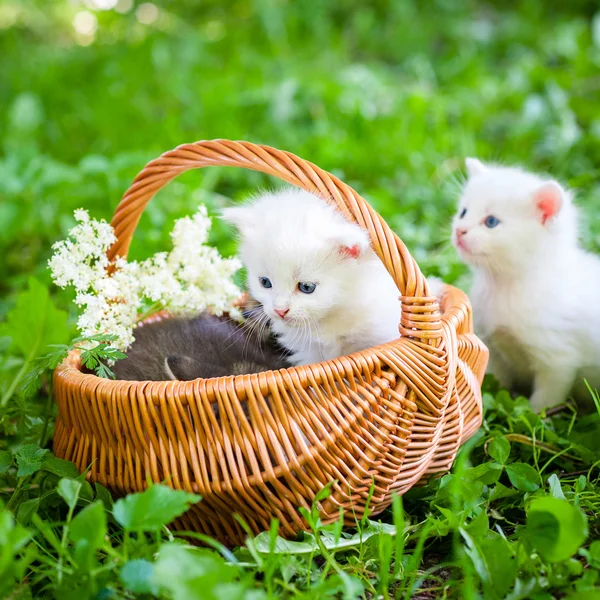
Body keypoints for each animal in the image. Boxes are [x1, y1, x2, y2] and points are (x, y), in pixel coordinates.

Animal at [452, 158, 600, 412]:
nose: (459, 231)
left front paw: (535, 413)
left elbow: (545, 400)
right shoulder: (494, 349)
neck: (505, 286)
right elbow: (493, 380)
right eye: (463, 212)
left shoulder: (558, 362)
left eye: (491, 222)